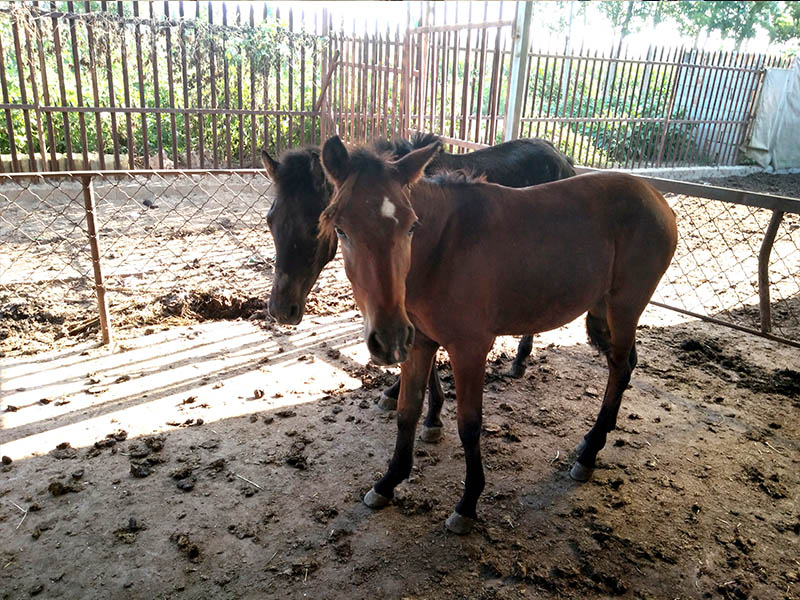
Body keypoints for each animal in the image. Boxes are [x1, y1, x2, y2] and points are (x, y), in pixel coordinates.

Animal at [260, 135, 575, 409]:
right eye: (270, 220)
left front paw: (430, 411)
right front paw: (399, 393)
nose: (281, 310)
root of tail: (561, 156)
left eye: (316, 225)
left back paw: (520, 360)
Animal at [319, 136, 677, 534]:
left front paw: (468, 503)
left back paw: (589, 452)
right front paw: (388, 482)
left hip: (625, 307)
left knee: (618, 367)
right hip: (606, 309)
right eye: (341, 229)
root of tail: (656, 197)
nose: (389, 338)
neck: (444, 247)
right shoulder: (420, 343)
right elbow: (407, 411)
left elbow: (469, 424)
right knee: (626, 365)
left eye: (411, 227)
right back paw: (593, 440)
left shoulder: (470, 349)